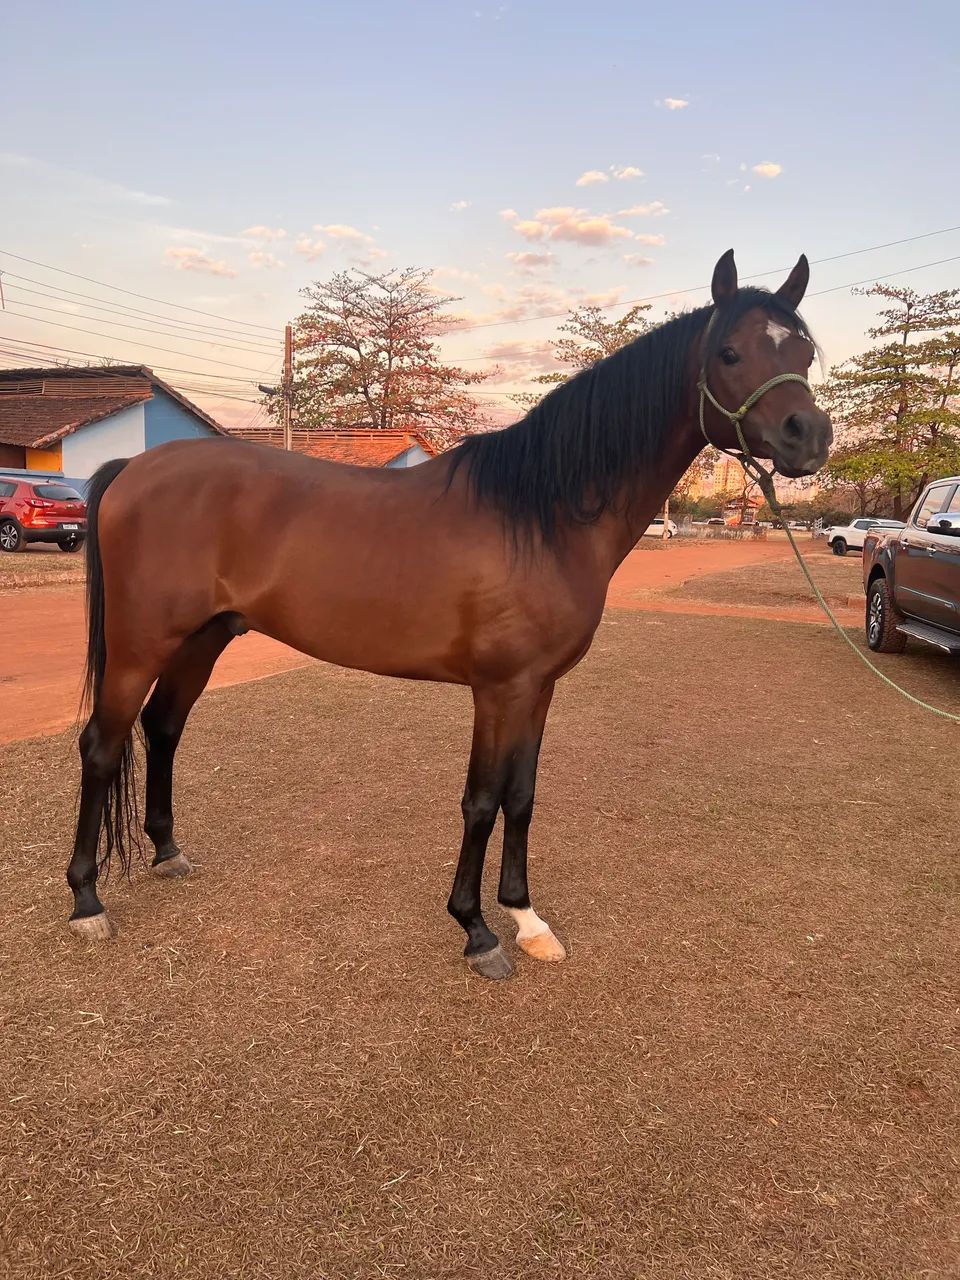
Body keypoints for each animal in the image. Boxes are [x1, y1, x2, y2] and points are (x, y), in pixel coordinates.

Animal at [65, 250, 832, 980]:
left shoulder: (538, 688)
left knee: (164, 728)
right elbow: (482, 800)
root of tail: (133, 468)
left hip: (205, 637)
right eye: (729, 353)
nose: (810, 436)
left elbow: (522, 795)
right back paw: (86, 900)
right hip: (140, 644)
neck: (543, 515)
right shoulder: (499, 689)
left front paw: (527, 919)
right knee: (102, 746)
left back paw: (168, 852)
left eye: (803, 352)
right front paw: (477, 931)